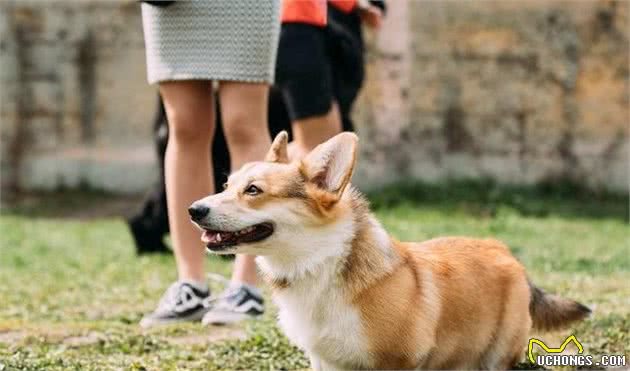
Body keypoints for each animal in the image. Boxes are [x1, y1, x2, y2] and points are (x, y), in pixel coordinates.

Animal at [190, 132, 596, 370]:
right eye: (226, 186)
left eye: (254, 190)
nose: (193, 210)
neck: (321, 264)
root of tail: (506, 252)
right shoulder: (324, 362)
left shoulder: (396, 362)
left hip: (497, 357)